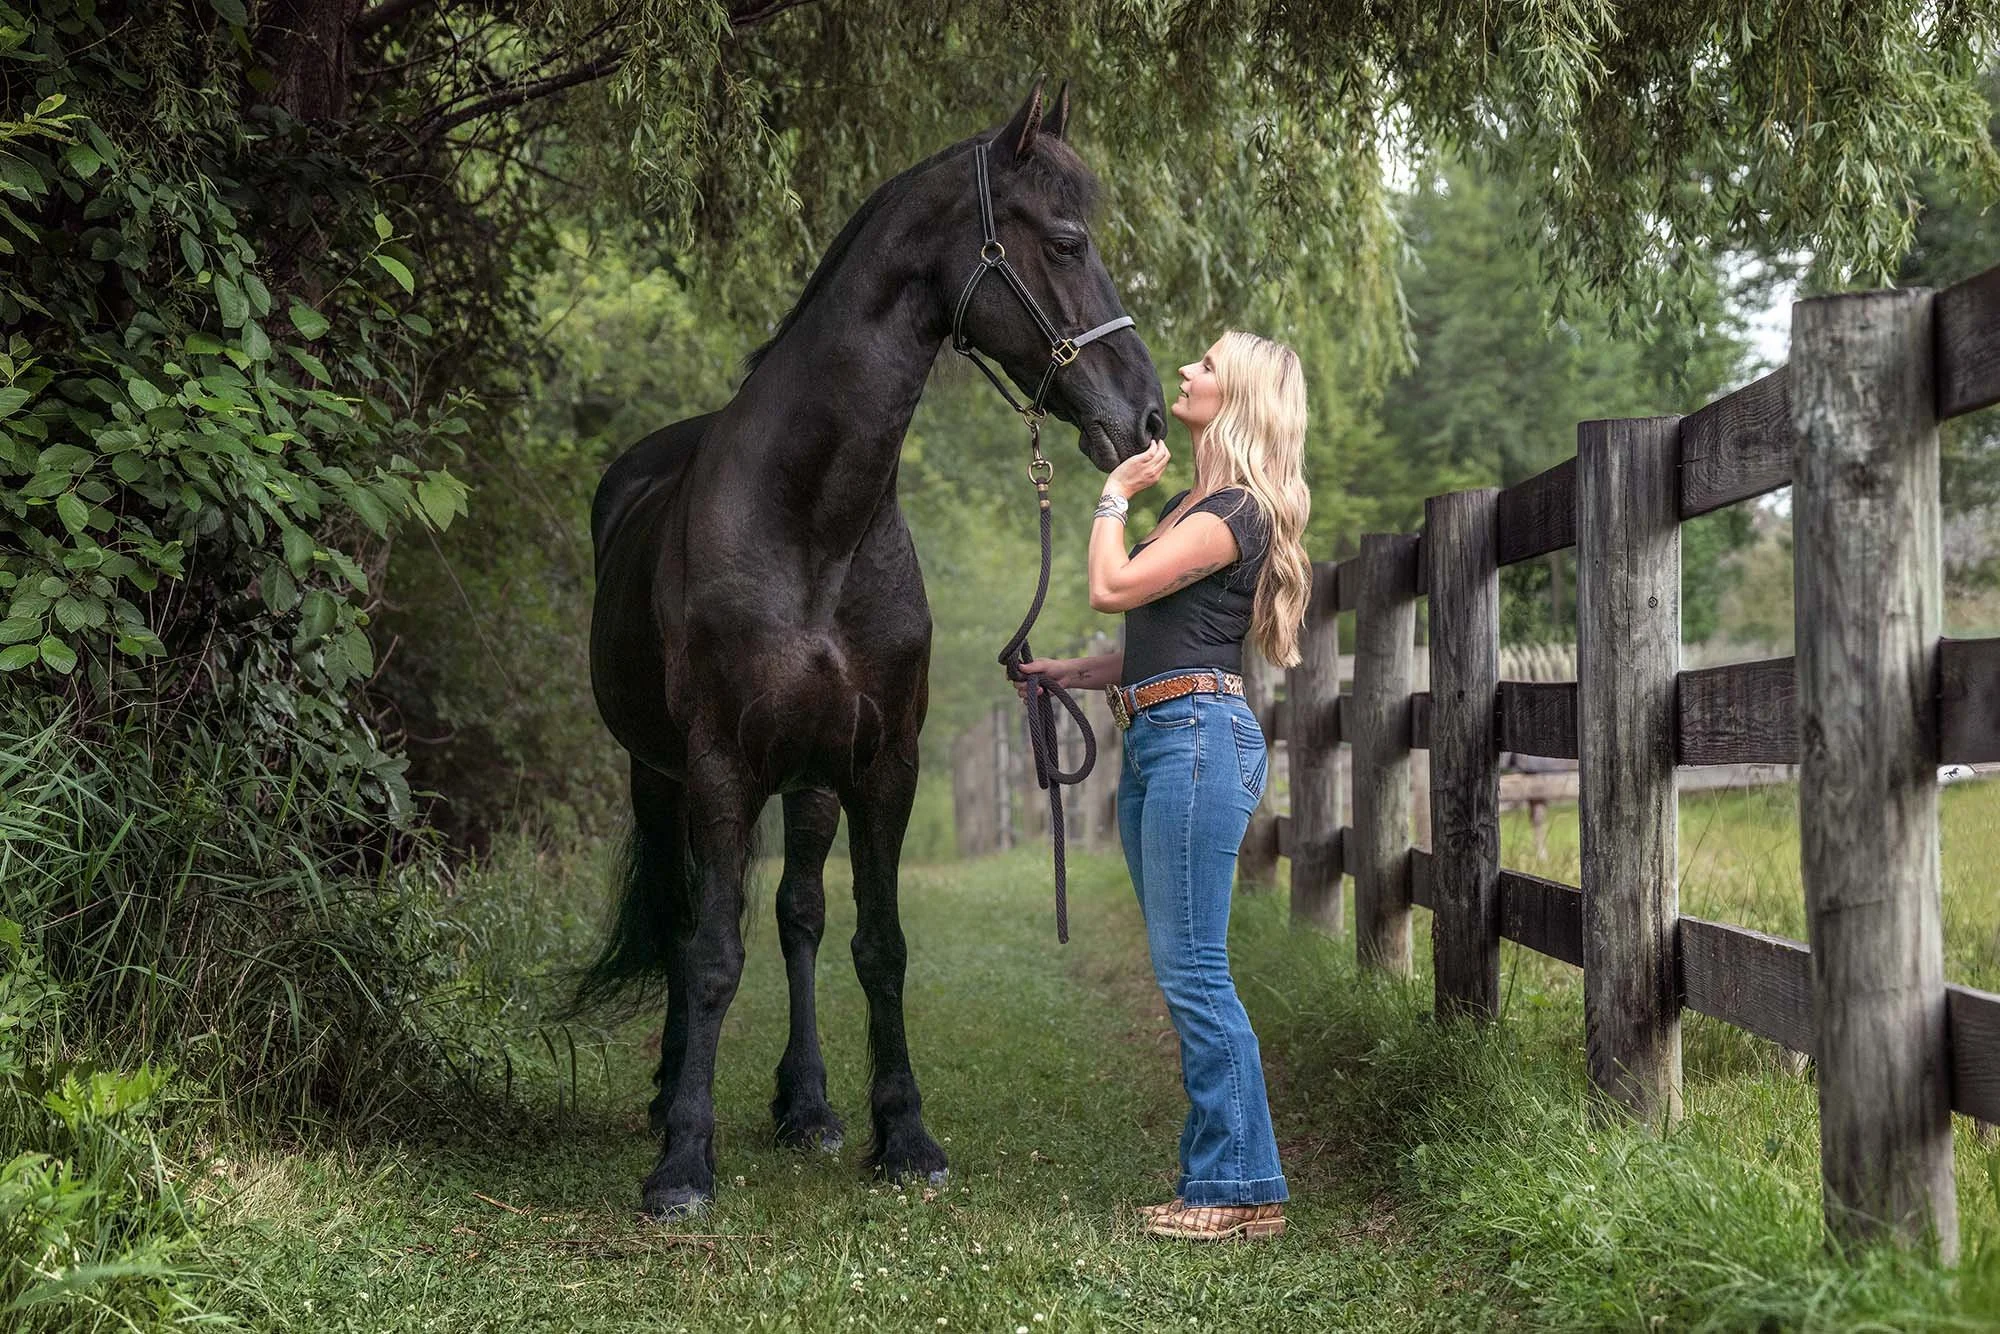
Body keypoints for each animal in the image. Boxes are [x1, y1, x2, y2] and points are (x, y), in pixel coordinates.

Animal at [582, 81, 1166, 1219]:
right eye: (1065, 239)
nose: (1148, 415)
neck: (812, 521)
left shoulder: (882, 761)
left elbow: (877, 945)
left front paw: (903, 1132)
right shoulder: (717, 766)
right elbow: (710, 952)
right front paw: (682, 1160)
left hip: (809, 780)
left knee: (800, 914)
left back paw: (807, 1105)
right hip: (656, 774)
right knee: (683, 922)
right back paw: (672, 1092)